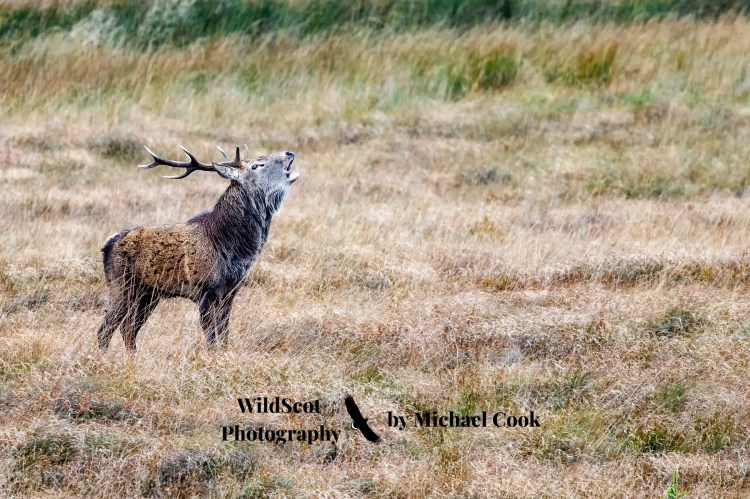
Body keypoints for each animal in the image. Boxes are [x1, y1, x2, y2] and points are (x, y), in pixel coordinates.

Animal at [97, 145, 299, 352]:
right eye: (256, 165)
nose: (289, 152)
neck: (232, 247)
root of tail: (107, 245)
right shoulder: (206, 291)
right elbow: (211, 339)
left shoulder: (230, 292)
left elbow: (224, 337)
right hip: (120, 285)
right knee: (105, 329)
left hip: (148, 294)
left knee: (128, 329)